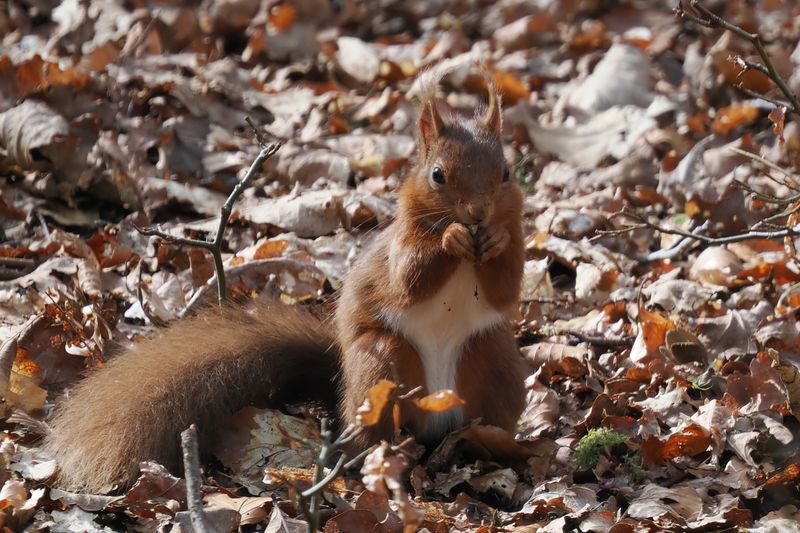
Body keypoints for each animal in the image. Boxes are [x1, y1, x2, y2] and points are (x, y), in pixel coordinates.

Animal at [43, 68, 532, 492]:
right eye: (437, 175)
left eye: (507, 172)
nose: (478, 214)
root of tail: (435, 418)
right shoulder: (401, 247)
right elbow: (409, 277)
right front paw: (450, 237)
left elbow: (505, 288)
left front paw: (496, 240)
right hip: (381, 360)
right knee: (374, 427)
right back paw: (390, 452)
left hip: (494, 360)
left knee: (488, 415)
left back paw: (484, 441)